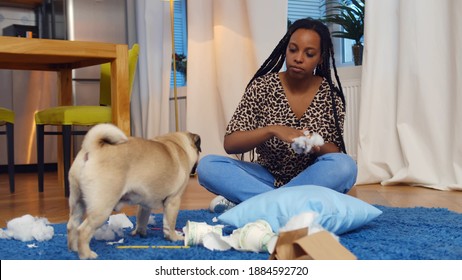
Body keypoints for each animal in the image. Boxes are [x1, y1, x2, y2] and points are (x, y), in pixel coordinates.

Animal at [66, 123, 200, 260]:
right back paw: (86, 254)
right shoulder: (173, 200)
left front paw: (140, 233)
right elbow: (170, 223)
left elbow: (142, 219)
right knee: (83, 230)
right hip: (102, 208)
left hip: (77, 201)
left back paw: (73, 249)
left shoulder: (145, 204)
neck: (177, 143)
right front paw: (173, 238)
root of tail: (92, 147)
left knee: (72, 225)